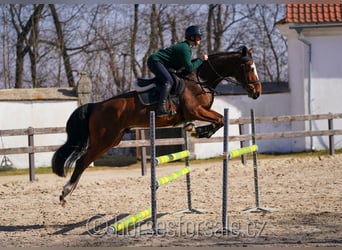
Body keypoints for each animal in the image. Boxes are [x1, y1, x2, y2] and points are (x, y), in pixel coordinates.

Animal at [51, 46, 262, 204]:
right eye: (250, 67)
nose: (257, 92)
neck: (200, 80)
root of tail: (96, 105)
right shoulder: (195, 111)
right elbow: (219, 120)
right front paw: (196, 131)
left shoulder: (199, 112)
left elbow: (218, 121)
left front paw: (194, 129)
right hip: (104, 139)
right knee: (82, 161)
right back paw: (66, 192)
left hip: (113, 140)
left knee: (84, 161)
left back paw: (68, 191)